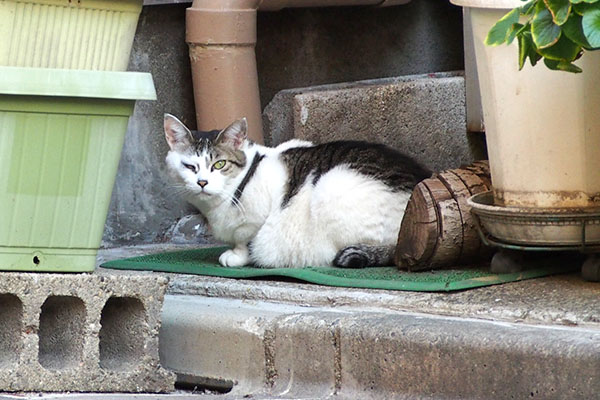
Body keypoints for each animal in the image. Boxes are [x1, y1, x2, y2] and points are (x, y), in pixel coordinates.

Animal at [162, 113, 428, 268]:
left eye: (219, 164)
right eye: (189, 166)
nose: (202, 182)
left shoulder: (260, 216)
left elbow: (246, 238)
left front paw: (237, 256)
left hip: (330, 188)